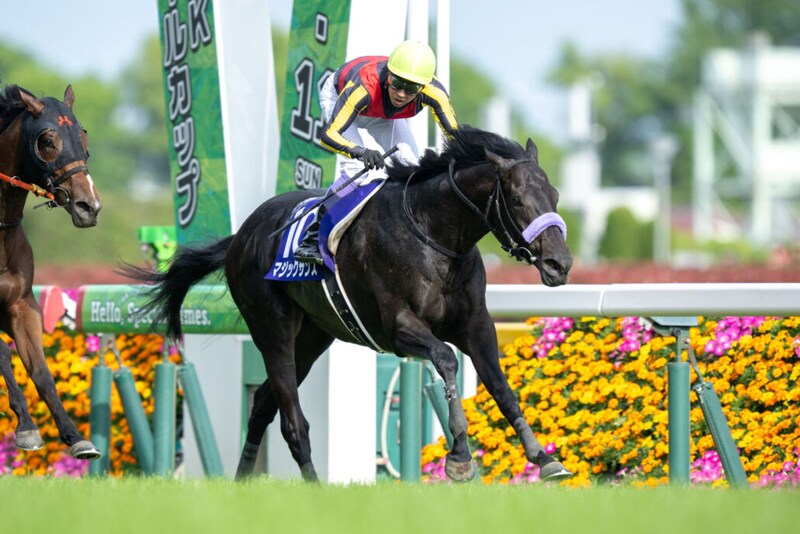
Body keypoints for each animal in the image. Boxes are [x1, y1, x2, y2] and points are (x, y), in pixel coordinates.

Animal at [0, 83, 101, 460]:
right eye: (47, 139)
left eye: (82, 134)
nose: (89, 206)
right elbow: (5, 357)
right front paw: (27, 429)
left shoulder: (22, 305)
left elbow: (41, 371)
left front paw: (76, 437)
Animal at [126, 125, 573, 482]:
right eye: (517, 199)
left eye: (554, 194)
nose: (561, 263)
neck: (435, 234)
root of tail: (240, 236)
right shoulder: (398, 327)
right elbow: (446, 359)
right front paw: (460, 455)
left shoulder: (475, 325)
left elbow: (500, 385)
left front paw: (544, 457)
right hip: (271, 328)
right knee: (292, 422)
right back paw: (314, 489)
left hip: (311, 339)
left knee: (262, 406)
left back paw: (242, 482)